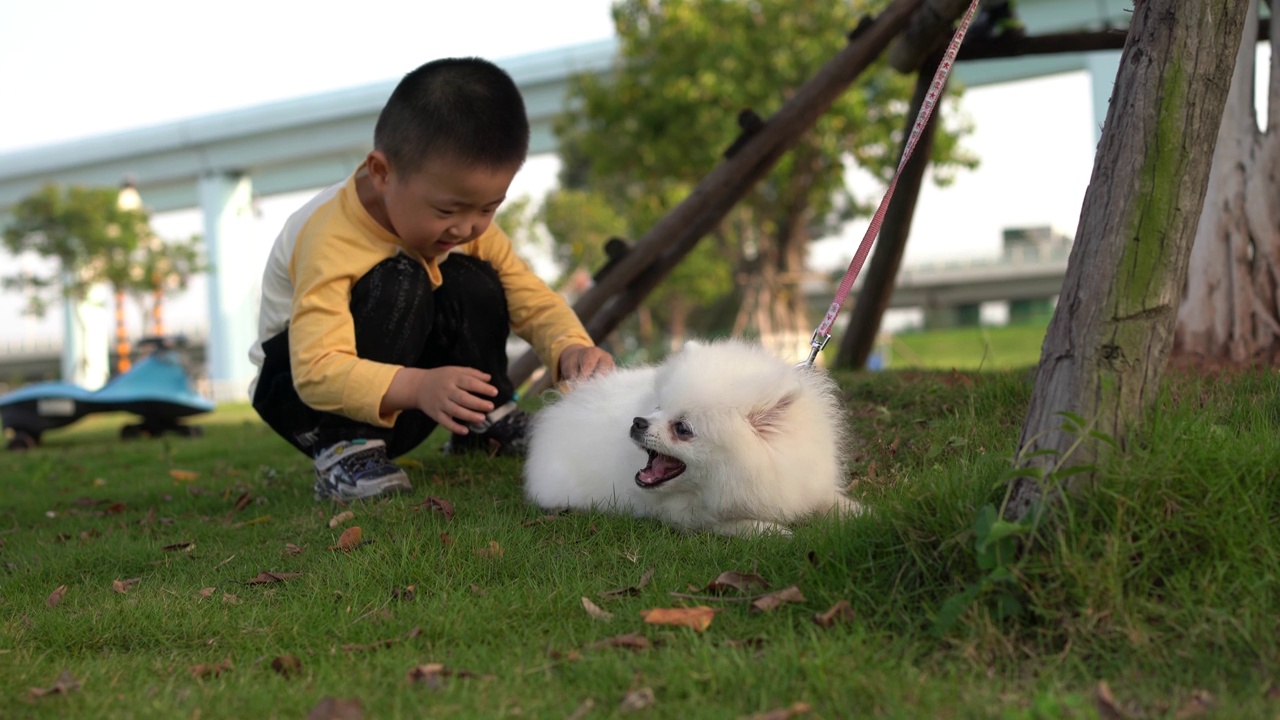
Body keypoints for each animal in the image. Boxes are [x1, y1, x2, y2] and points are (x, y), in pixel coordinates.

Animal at [519, 338, 860, 532]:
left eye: (682, 429)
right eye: (658, 407)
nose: (638, 422)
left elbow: (829, 500)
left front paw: (858, 513)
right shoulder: (686, 515)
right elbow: (728, 524)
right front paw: (770, 530)